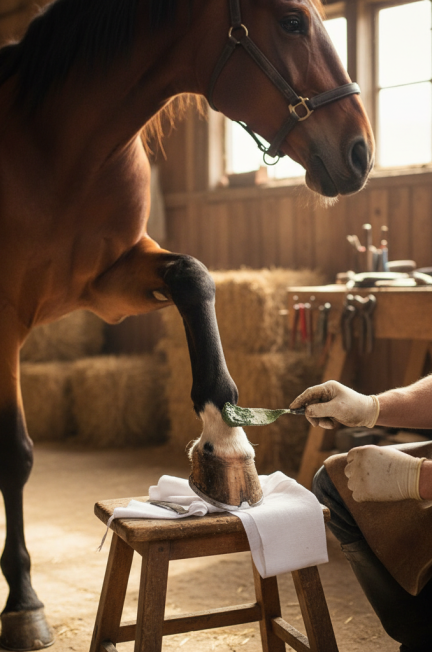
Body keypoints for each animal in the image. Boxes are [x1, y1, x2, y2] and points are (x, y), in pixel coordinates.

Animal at [0, 0, 374, 647]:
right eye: (292, 21)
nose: (360, 152)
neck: (59, 147)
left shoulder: (114, 280)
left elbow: (194, 277)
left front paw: (227, 443)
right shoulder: (3, 316)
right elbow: (15, 456)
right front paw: (22, 603)